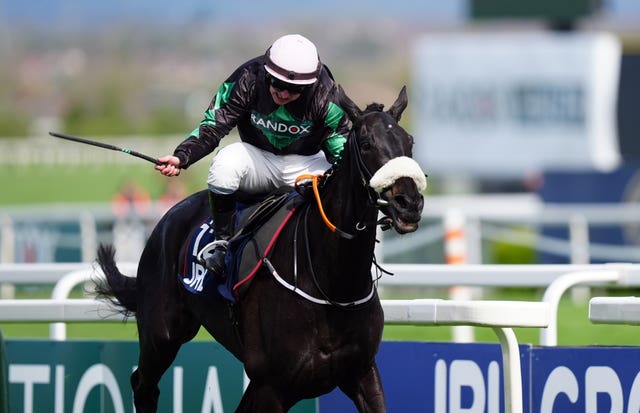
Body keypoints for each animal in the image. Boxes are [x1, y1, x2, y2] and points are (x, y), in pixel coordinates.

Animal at [95, 85, 424, 410]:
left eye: (409, 142)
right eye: (367, 144)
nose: (408, 202)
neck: (333, 285)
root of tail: (168, 217)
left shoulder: (361, 372)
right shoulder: (272, 385)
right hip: (161, 334)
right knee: (143, 386)